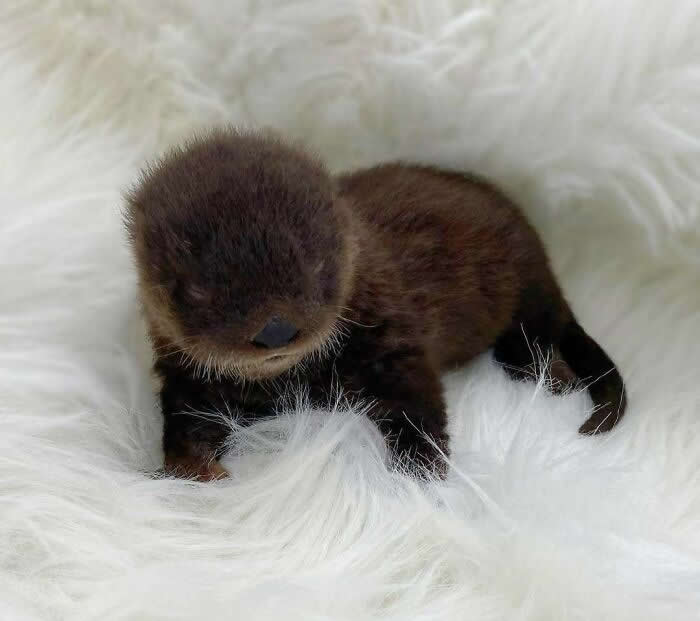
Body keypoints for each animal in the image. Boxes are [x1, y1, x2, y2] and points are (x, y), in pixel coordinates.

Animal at [124, 127, 627, 480]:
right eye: (197, 290)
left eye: (317, 267)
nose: (275, 330)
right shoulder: (188, 379)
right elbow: (185, 425)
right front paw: (194, 467)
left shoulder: (393, 339)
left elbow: (419, 406)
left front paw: (416, 478)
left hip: (528, 290)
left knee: (538, 337)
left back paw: (555, 375)